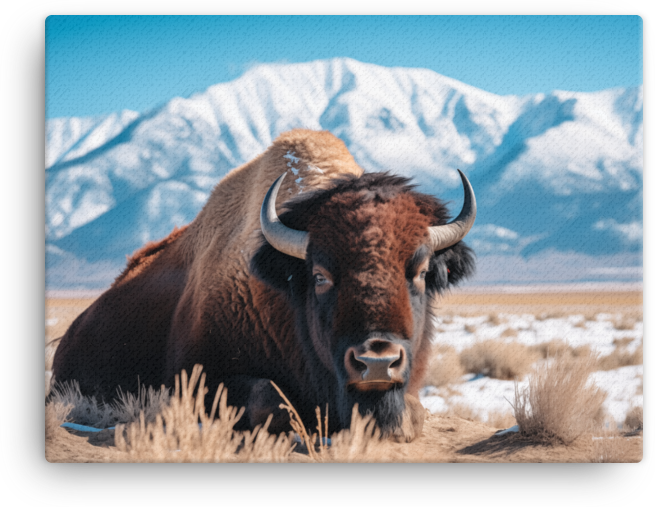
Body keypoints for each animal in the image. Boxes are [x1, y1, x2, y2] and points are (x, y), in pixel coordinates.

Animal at [51, 129, 476, 442]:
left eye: (420, 271)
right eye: (320, 275)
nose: (377, 362)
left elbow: (414, 412)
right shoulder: (197, 378)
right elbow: (271, 399)